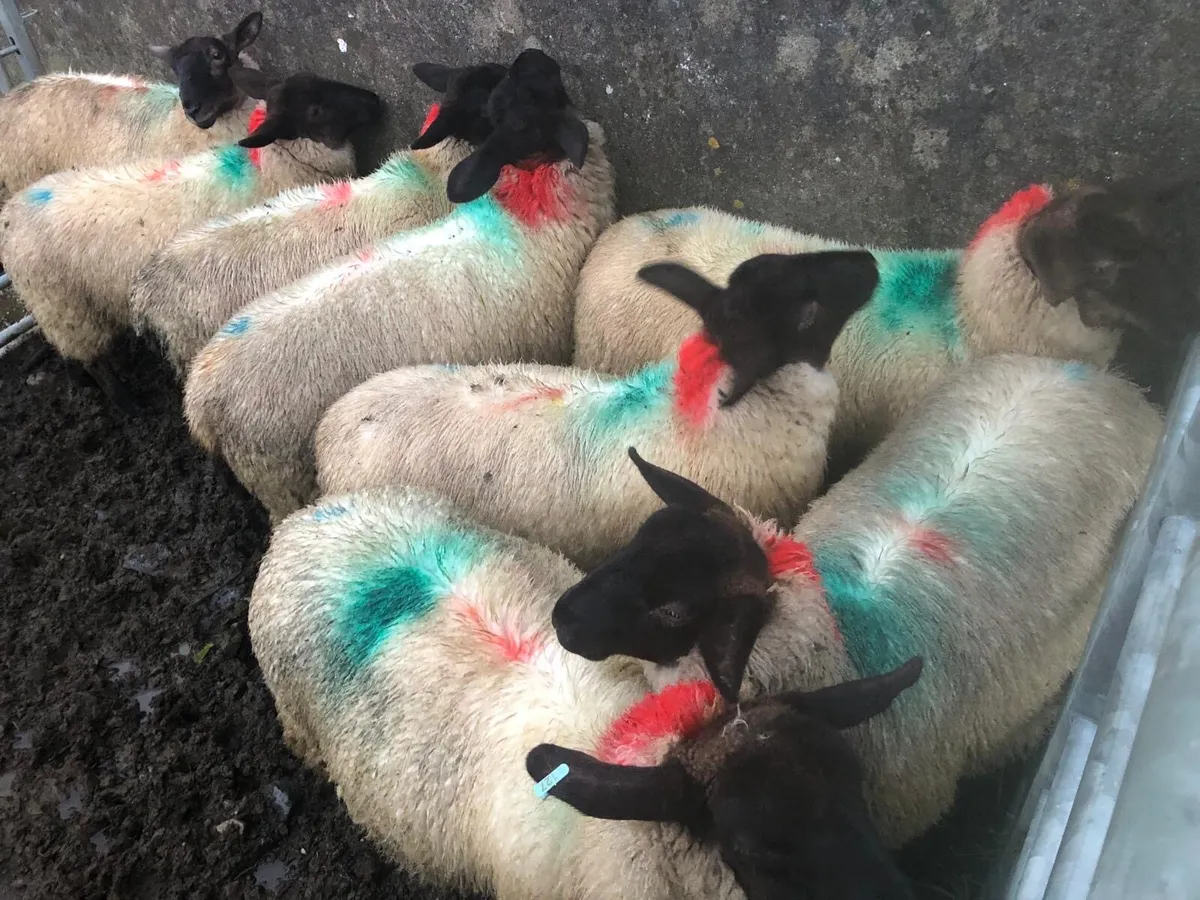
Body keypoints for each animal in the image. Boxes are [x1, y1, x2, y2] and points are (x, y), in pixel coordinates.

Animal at [2, 67, 382, 407]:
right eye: (316, 109)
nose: (375, 100)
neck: (271, 166)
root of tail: (10, 215)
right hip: (63, 306)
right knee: (94, 359)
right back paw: (128, 404)